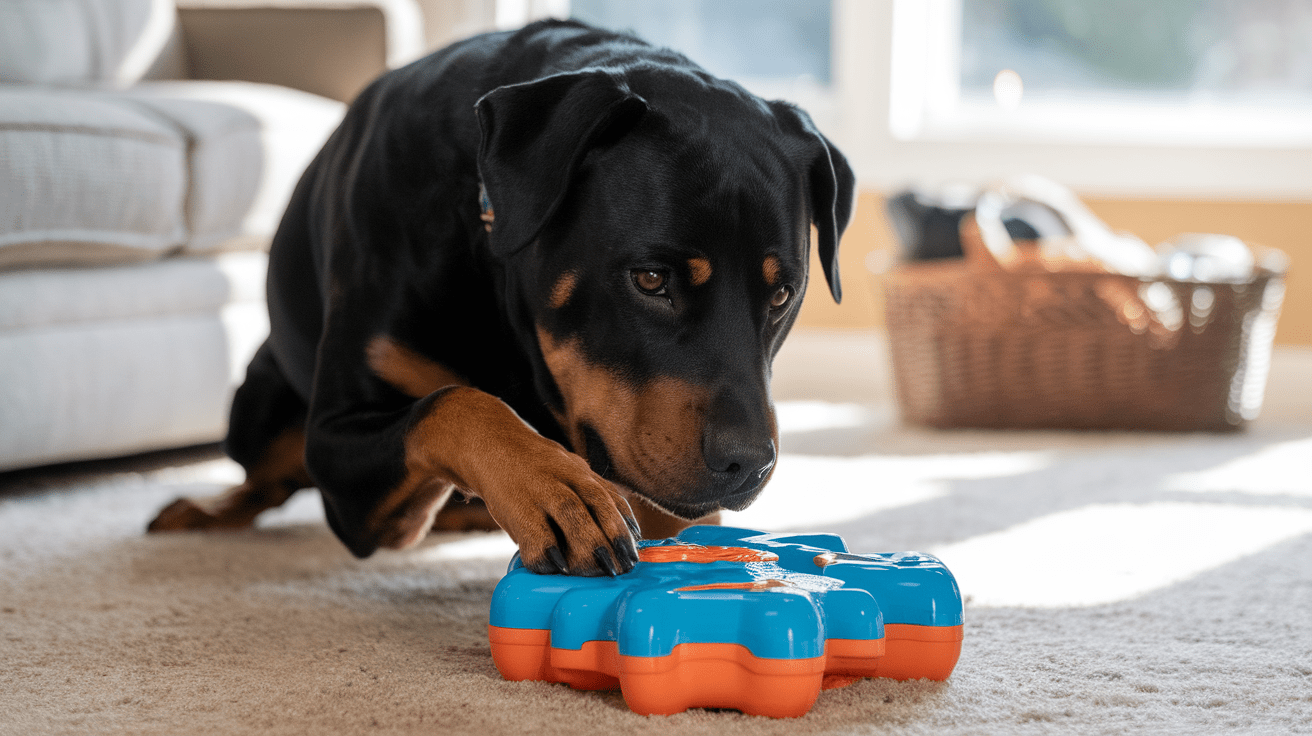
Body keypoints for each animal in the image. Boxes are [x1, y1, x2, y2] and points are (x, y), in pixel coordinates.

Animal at [148, 20, 855, 577]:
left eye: (783, 294)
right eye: (651, 279)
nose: (748, 464)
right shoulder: (338, 444)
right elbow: (456, 403)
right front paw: (550, 486)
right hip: (257, 403)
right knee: (264, 479)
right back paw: (203, 507)